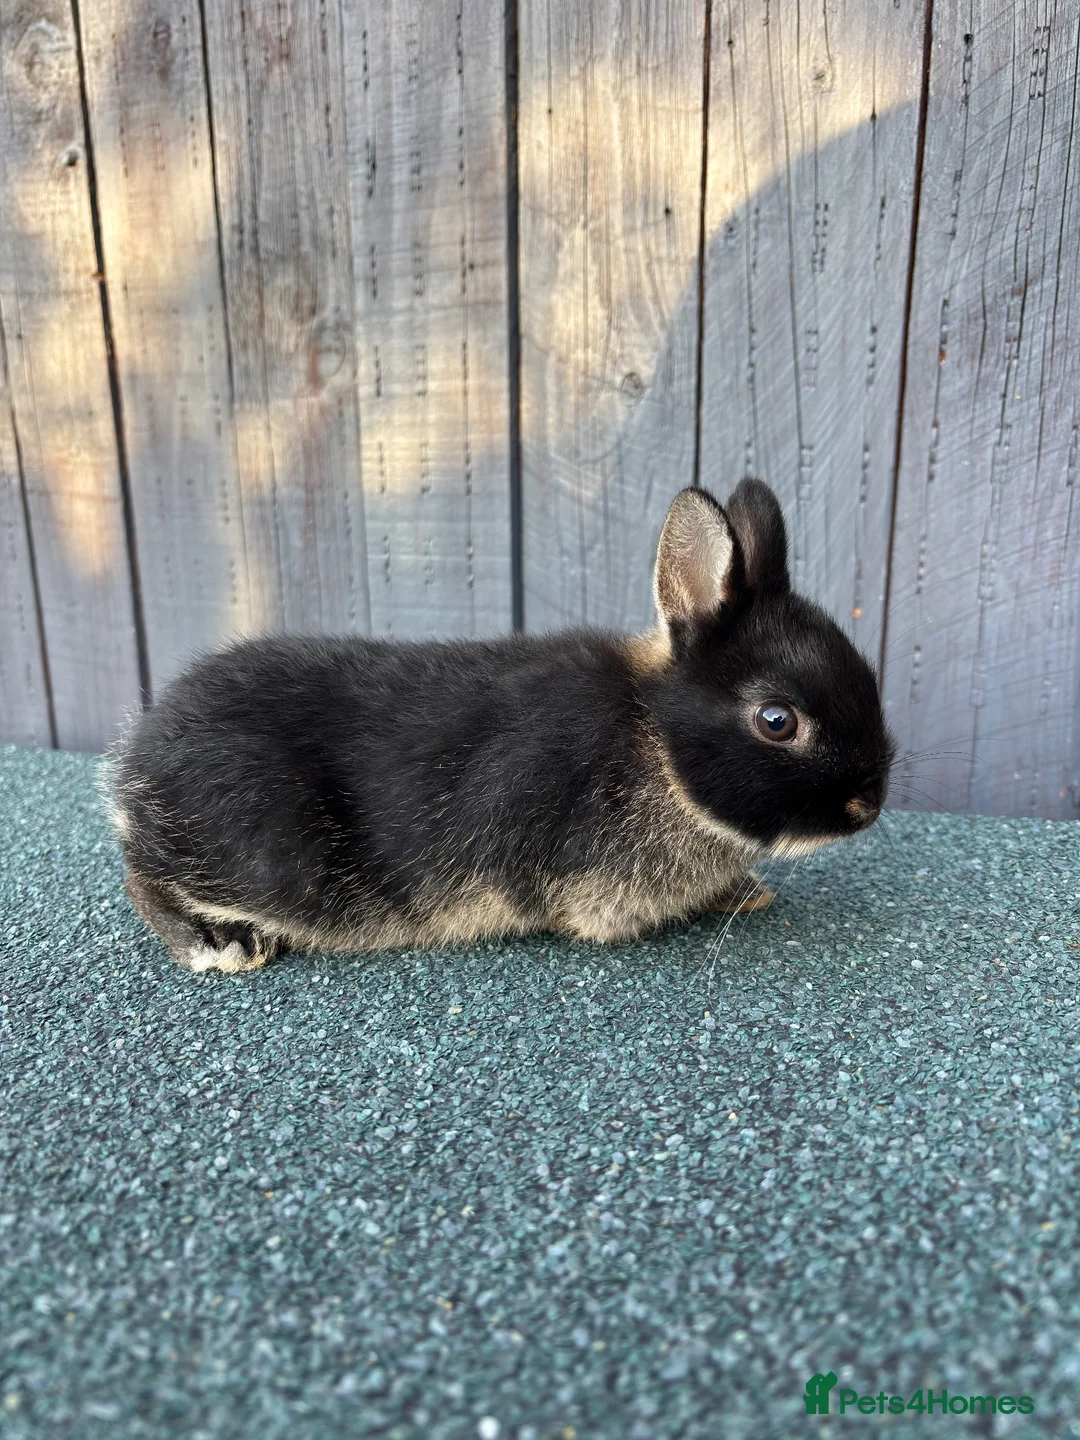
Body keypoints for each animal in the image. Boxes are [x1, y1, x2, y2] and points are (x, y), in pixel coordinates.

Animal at [111, 479, 895, 974]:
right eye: (777, 720)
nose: (869, 805)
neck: (655, 742)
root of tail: (134, 765)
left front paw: (745, 891)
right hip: (265, 854)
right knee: (146, 877)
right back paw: (221, 945)